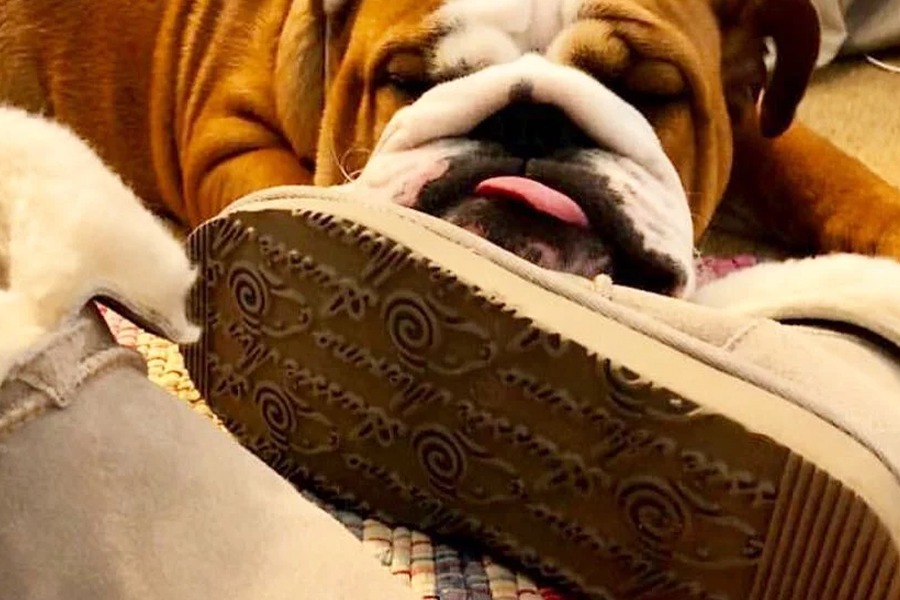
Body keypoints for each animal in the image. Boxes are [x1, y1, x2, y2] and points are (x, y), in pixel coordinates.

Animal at [2, 0, 900, 296]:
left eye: (649, 94)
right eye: (412, 78)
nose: (532, 123)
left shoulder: (746, 112)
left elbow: (810, 160)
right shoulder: (231, 135)